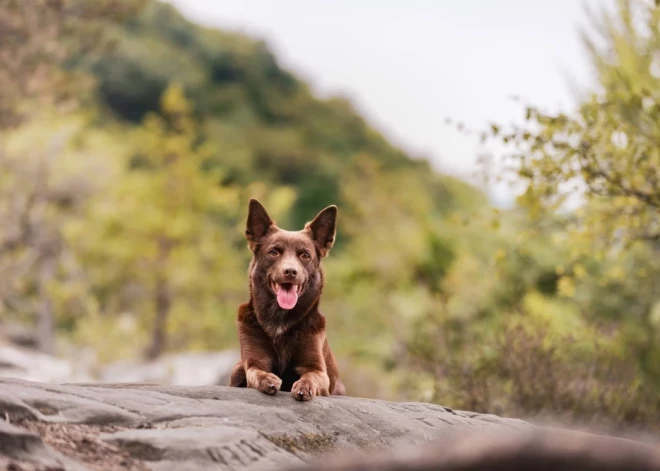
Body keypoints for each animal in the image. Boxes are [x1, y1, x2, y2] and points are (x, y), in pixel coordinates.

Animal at [229, 199, 346, 402]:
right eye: (274, 252)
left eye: (305, 255)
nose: (291, 271)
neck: (280, 321)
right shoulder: (253, 362)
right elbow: (256, 372)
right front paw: (268, 380)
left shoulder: (318, 370)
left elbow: (311, 376)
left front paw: (303, 386)